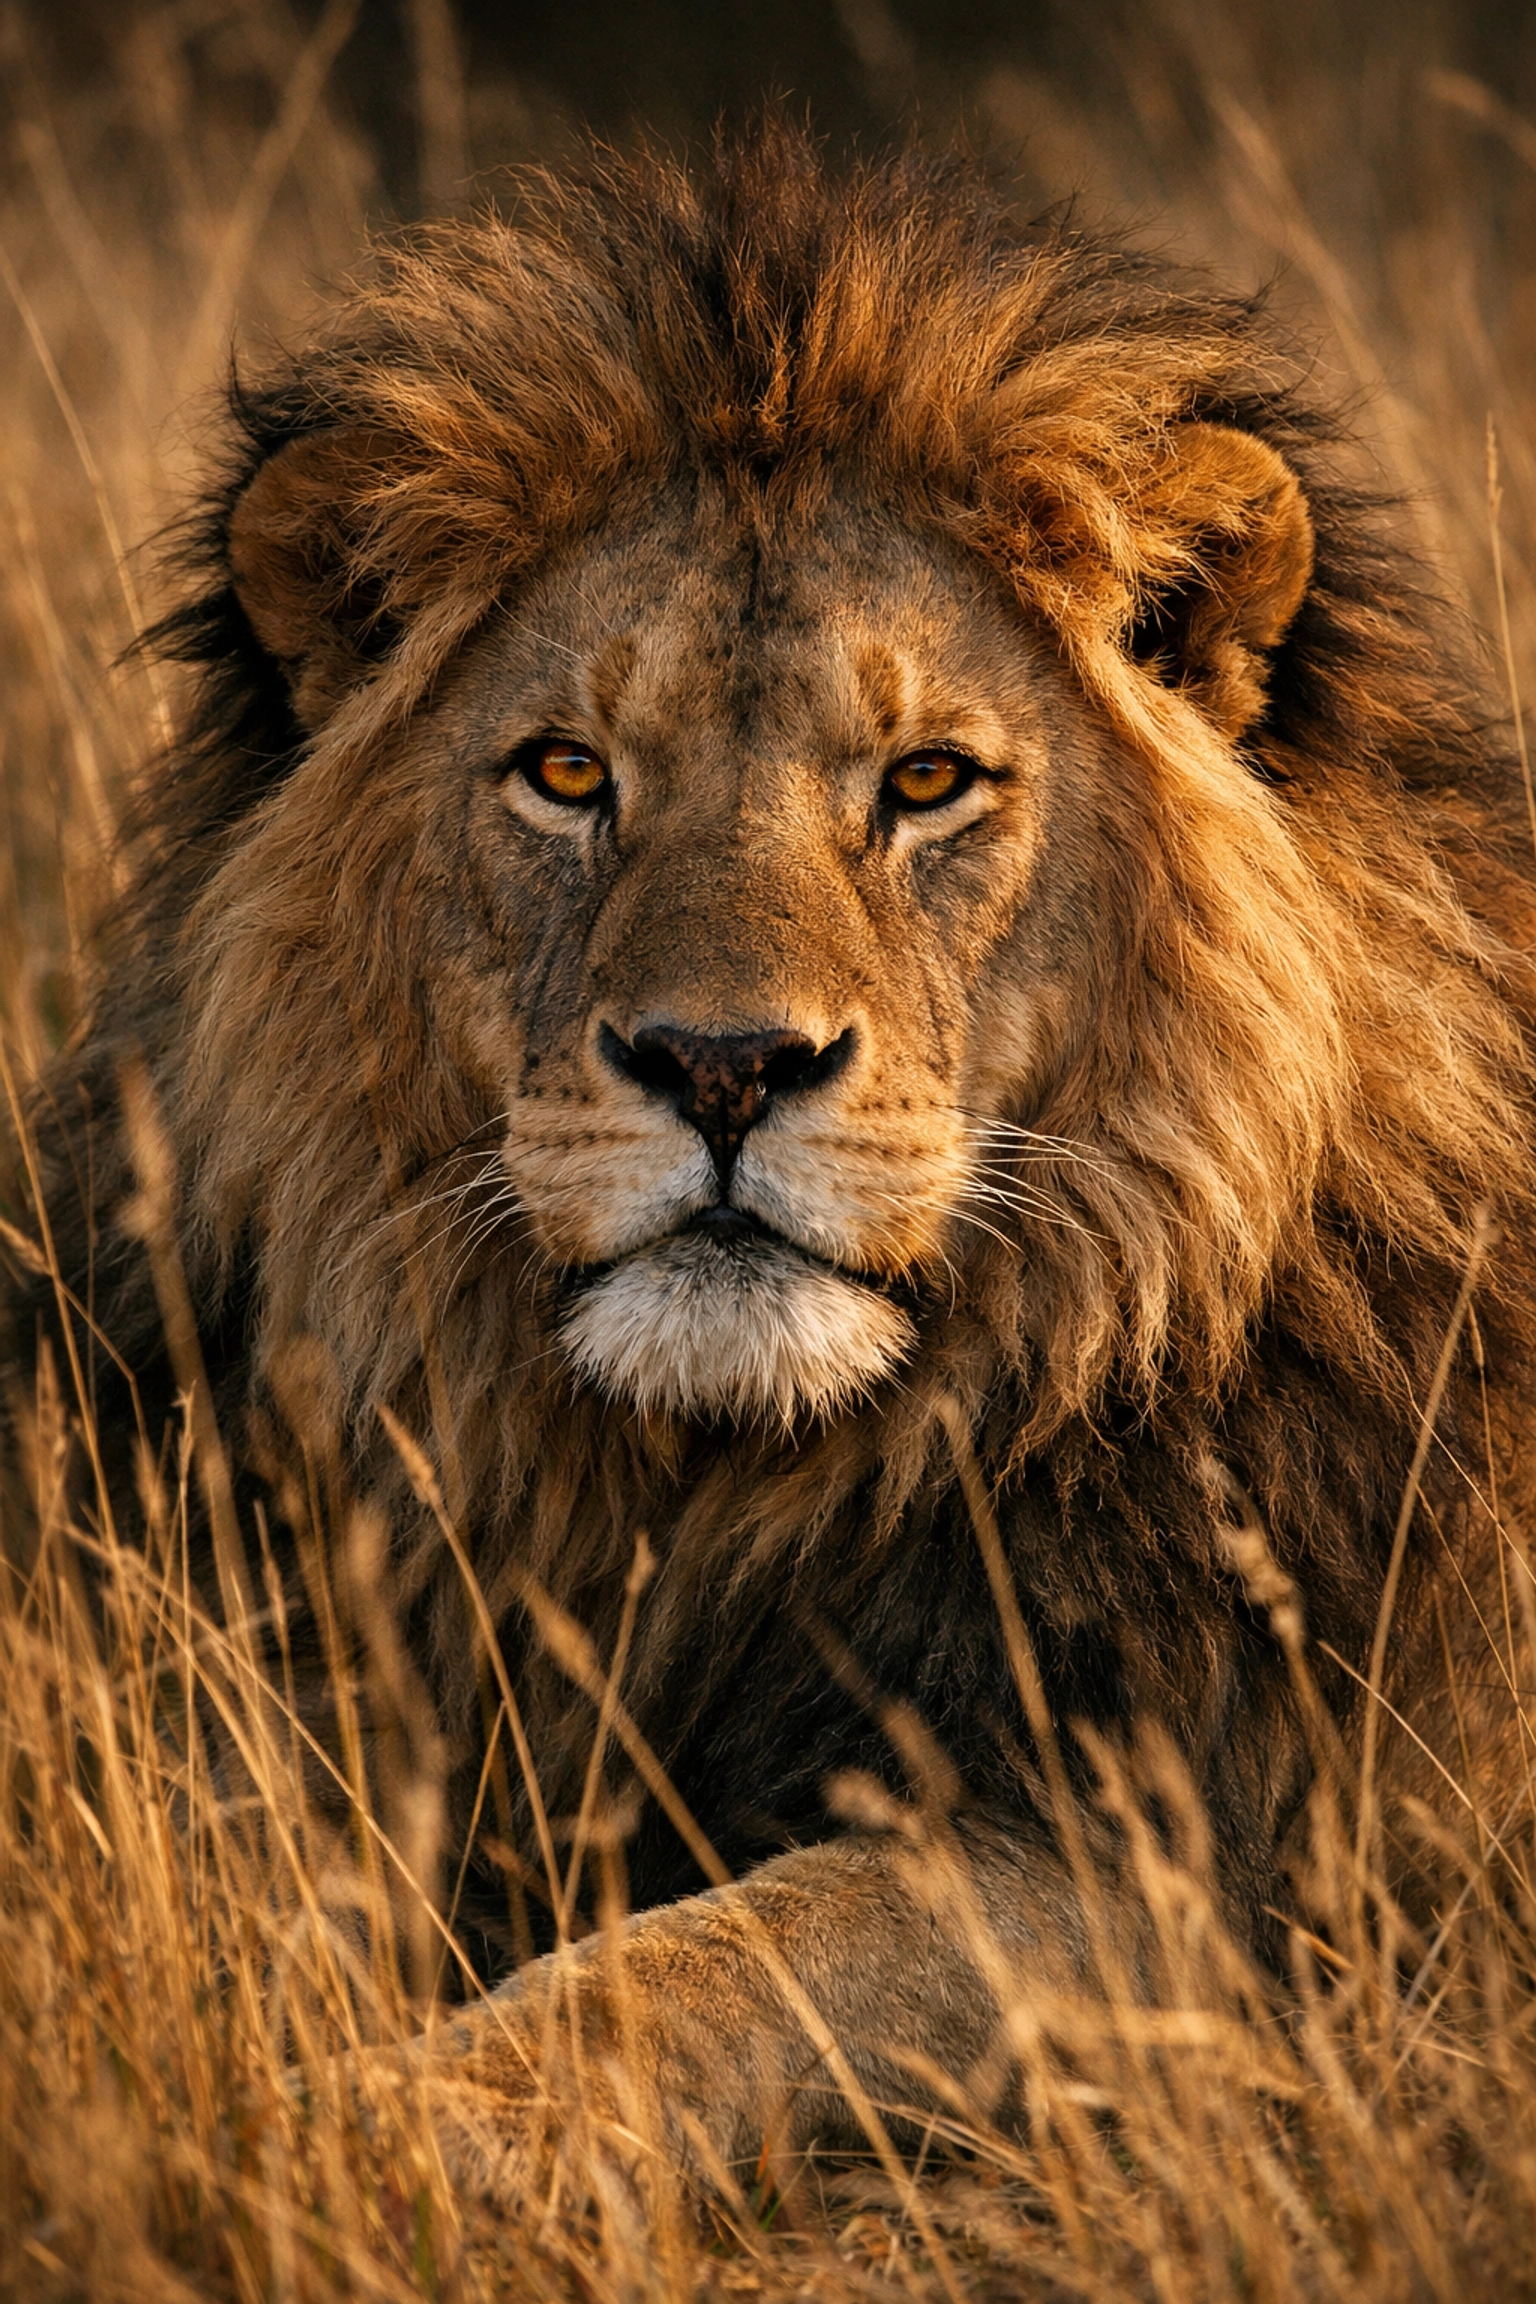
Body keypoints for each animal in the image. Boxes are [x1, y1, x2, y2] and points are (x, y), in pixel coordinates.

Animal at [9, 127, 1536, 2206]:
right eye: (568, 773)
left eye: (927, 781)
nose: (722, 1064)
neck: (714, 1482)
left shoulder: (1202, 1870)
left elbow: (713, 1961)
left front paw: (393, 2124)